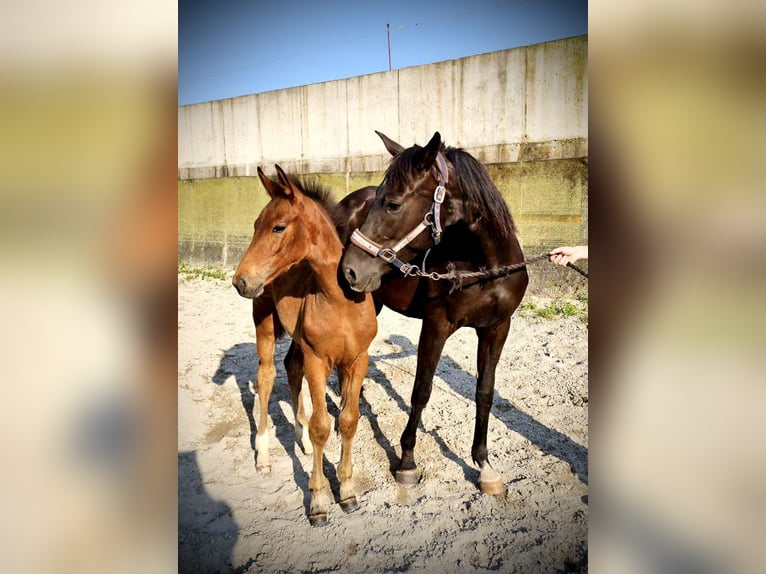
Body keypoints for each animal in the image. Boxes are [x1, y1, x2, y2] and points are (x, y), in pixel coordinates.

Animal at [234, 166, 378, 528]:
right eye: (255, 225)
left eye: (278, 227)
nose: (240, 281)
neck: (341, 302)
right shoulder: (318, 361)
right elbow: (321, 426)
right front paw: (319, 502)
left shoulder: (358, 360)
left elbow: (348, 420)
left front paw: (348, 492)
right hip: (265, 325)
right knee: (267, 377)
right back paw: (263, 456)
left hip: (297, 339)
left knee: (290, 367)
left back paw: (298, 440)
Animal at [340, 132, 532, 496]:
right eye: (380, 201)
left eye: (393, 203)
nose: (349, 270)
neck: (485, 267)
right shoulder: (436, 325)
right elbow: (421, 391)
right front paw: (407, 462)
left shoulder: (497, 328)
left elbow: (485, 391)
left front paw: (483, 464)